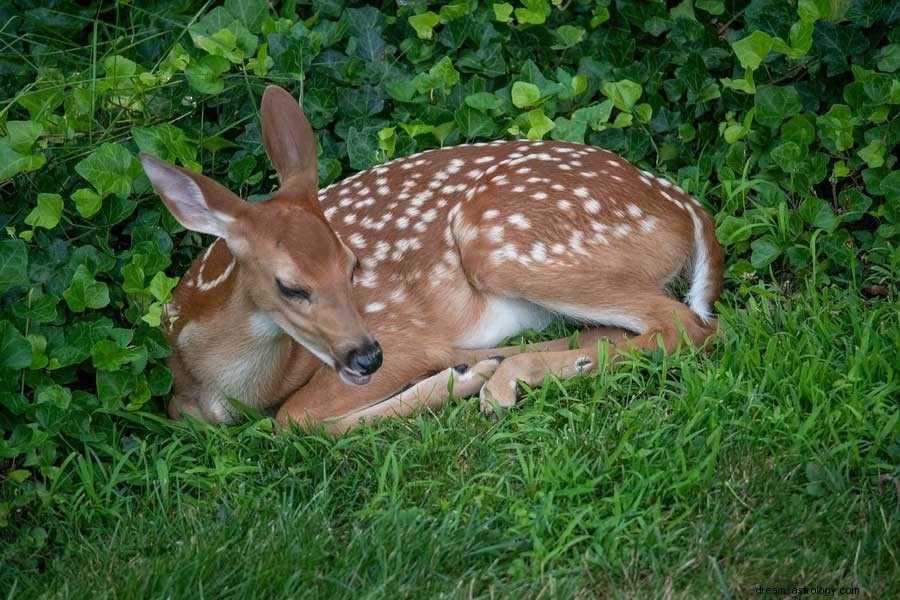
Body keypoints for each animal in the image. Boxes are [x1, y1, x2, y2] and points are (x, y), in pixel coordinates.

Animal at [139, 85, 724, 432]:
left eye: (353, 266)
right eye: (290, 286)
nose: (366, 357)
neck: (226, 384)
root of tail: (684, 205)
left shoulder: (401, 339)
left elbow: (294, 417)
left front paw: (460, 377)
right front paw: (469, 370)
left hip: (503, 244)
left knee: (685, 325)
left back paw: (500, 380)